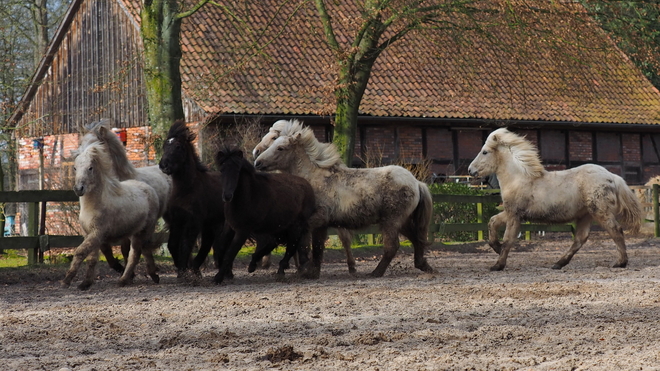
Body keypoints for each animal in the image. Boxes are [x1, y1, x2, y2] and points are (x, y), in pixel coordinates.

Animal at [62, 141, 161, 290]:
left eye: (90, 168)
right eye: (74, 168)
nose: (79, 189)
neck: (95, 205)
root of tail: (149, 188)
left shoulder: (97, 233)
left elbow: (80, 252)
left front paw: (67, 281)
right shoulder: (89, 234)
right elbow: (92, 258)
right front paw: (85, 283)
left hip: (143, 231)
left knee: (135, 254)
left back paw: (123, 280)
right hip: (133, 231)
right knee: (143, 250)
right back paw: (152, 275)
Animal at [211, 146, 314, 284]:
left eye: (237, 171)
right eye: (221, 170)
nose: (227, 196)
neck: (249, 196)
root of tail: (308, 186)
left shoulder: (243, 231)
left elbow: (231, 252)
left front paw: (218, 277)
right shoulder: (230, 226)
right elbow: (222, 248)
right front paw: (226, 273)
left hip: (295, 227)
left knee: (291, 247)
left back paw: (280, 271)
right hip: (278, 228)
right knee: (274, 244)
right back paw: (254, 264)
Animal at [253, 119, 434, 280]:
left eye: (280, 147)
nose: (257, 161)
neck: (314, 178)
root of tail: (417, 183)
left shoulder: (315, 220)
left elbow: (303, 243)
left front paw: (299, 269)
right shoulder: (321, 225)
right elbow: (317, 247)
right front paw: (311, 272)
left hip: (392, 221)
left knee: (392, 246)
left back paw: (376, 272)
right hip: (402, 222)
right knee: (416, 240)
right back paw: (424, 265)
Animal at [466, 129, 640, 272]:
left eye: (485, 152)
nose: (470, 170)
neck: (519, 179)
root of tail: (612, 176)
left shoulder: (514, 215)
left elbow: (508, 240)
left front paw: (497, 265)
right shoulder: (510, 212)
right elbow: (492, 221)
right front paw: (496, 247)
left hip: (600, 212)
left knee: (616, 230)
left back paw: (620, 262)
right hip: (585, 215)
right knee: (580, 239)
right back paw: (558, 264)